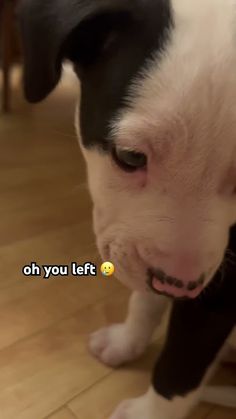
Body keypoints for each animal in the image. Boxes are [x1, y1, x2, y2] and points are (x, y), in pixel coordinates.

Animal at [18, 0, 236, 419]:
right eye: (131, 157)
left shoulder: (220, 291)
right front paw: (126, 341)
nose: (178, 286)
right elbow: (145, 298)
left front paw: (148, 413)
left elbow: (180, 366)